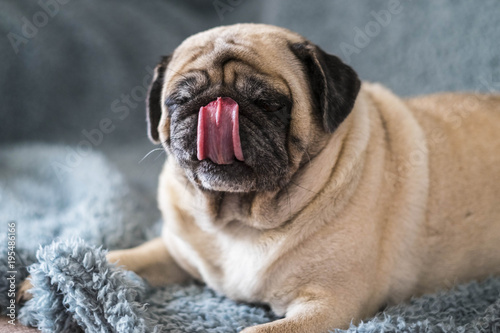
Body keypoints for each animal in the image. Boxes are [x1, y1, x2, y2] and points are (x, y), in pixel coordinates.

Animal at [23, 22, 500, 330]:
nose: (215, 107)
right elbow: (124, 257)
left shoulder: (328, 305)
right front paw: (37, 282)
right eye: (179, 101)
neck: (240, 219)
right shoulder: (175, 251)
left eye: (269, 103)